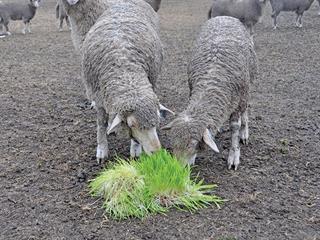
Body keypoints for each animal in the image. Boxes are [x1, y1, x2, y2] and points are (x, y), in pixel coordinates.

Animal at [81, 0, 174, 162]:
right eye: (132, 124)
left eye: (157, 120)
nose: (156, 152)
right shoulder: (98, 98)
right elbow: (101, 124)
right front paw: (102, 150)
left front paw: (135, 149)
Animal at [162, 16, 258, 171]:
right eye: (172, 141)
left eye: (192, 143)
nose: (177, 169)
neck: (211, 80)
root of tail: (224, 17)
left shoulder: (237, 101)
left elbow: (235, 128)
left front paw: (234, 155)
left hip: (246, 90)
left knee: (245, 110)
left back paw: (244, 133)